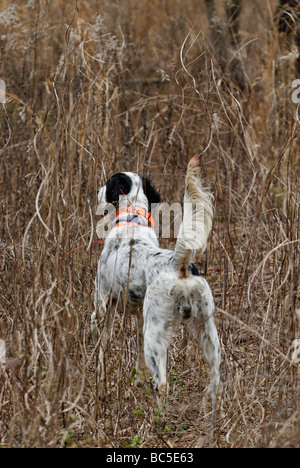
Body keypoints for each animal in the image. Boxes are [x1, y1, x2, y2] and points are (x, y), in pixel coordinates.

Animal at [92, 155, 221, 412]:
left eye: (107, 183)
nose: (97, 191)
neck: (132, 219)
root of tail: (178, 264)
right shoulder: (140, 315)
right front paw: (139, 378)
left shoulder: (104, 303)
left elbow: (101, 345)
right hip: (207, 331)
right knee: (216, 377)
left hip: (156, 334)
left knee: (162, 383)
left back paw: (157, 416)